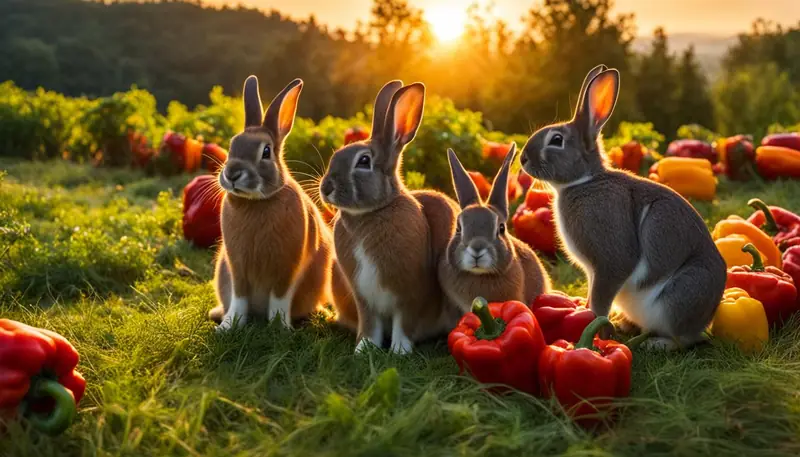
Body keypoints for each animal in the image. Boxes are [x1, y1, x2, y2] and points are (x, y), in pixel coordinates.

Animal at [209, 75, 359, 333]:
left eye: (266, 152)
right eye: (232, 145)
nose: (232, 174)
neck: (258, 201)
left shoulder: (287, 266)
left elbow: (279, 298)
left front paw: (280, 327)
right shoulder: (236, 266)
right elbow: (239, 297)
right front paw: (228, 326)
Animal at [319, 80, 461, 354]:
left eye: (364, 161)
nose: (326, 188)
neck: (373, 212)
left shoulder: (409, 293)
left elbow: (403, 324)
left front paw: (399, 351)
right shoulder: (363, 297)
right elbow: (370, 325)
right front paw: (363, 349)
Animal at [518, 64, 726, 351]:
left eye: (557, 140)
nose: (523, 159)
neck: (584, 181)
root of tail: (709, 313)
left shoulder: (609, 263)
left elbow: (600, 300)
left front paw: (600, 333)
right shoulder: (593, 272)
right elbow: (593, 297)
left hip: (679, 298)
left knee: (684, 338)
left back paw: (657, 343)